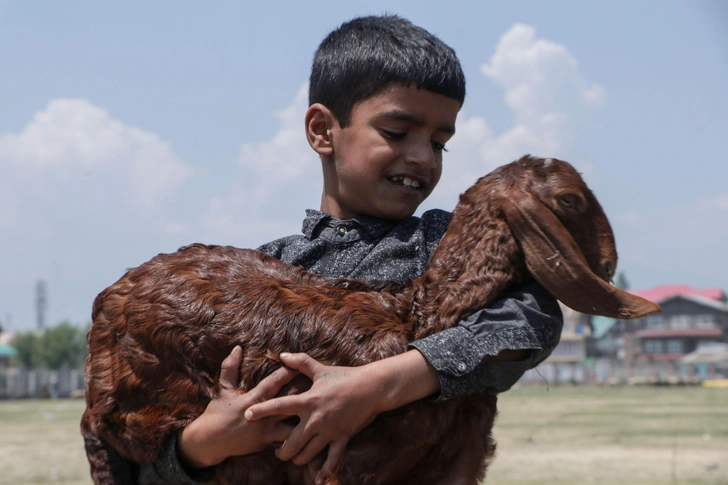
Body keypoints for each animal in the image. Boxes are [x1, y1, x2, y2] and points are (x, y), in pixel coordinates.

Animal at [79, 156, 660, 484]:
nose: (608, 260)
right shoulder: (343, 460)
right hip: (135, 409)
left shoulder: (458, 461)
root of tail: (106, 304)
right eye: (569, 199)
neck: (418, 318)